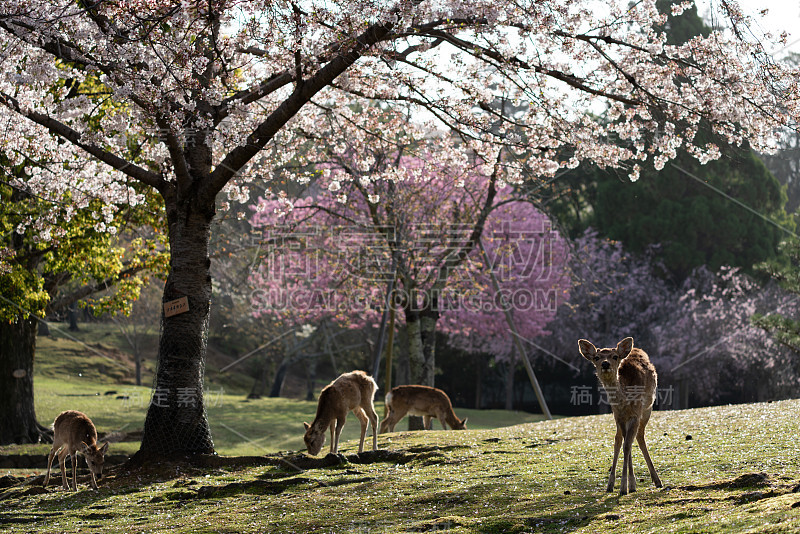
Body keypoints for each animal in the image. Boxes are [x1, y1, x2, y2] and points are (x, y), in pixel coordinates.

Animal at [580, 340, 664, 498]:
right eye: (596, 357)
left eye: (615, 356)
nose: (605, 364)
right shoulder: (618, 416)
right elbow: (623, 444)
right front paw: (625, 485)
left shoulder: (636, 414)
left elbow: (627, 446)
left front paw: (625, 487)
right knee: (620, 440)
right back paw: (613, 485)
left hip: (647, 410)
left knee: (639, 437)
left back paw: (657, 481)